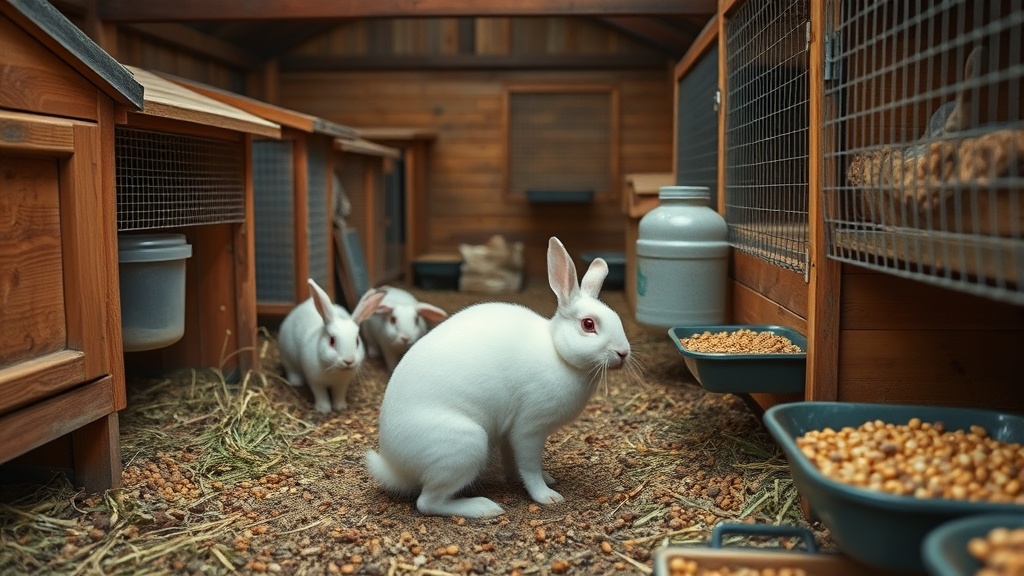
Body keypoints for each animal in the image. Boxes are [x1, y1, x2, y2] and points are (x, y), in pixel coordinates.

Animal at [277, 279, 386, 413]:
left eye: (357, 341)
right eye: (332, 341)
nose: (348, 361)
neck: (334, 370)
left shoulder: (341, 385)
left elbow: (339, 394)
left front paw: (340, 407)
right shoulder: (315, 382)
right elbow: (321, 395)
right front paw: (324, 409)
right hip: (287, 357)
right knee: (291, 370)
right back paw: (297, 382)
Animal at [365, 237, 633, 518]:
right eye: (588, 324)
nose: (623, 353)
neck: (558, 352)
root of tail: (394, 466)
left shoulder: (509, 434)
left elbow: (514, 462)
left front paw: (539, 478)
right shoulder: (529, 429)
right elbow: (529, 466)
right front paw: (547, 496)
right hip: (463, 447)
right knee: (428, 502)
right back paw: (484, 508)